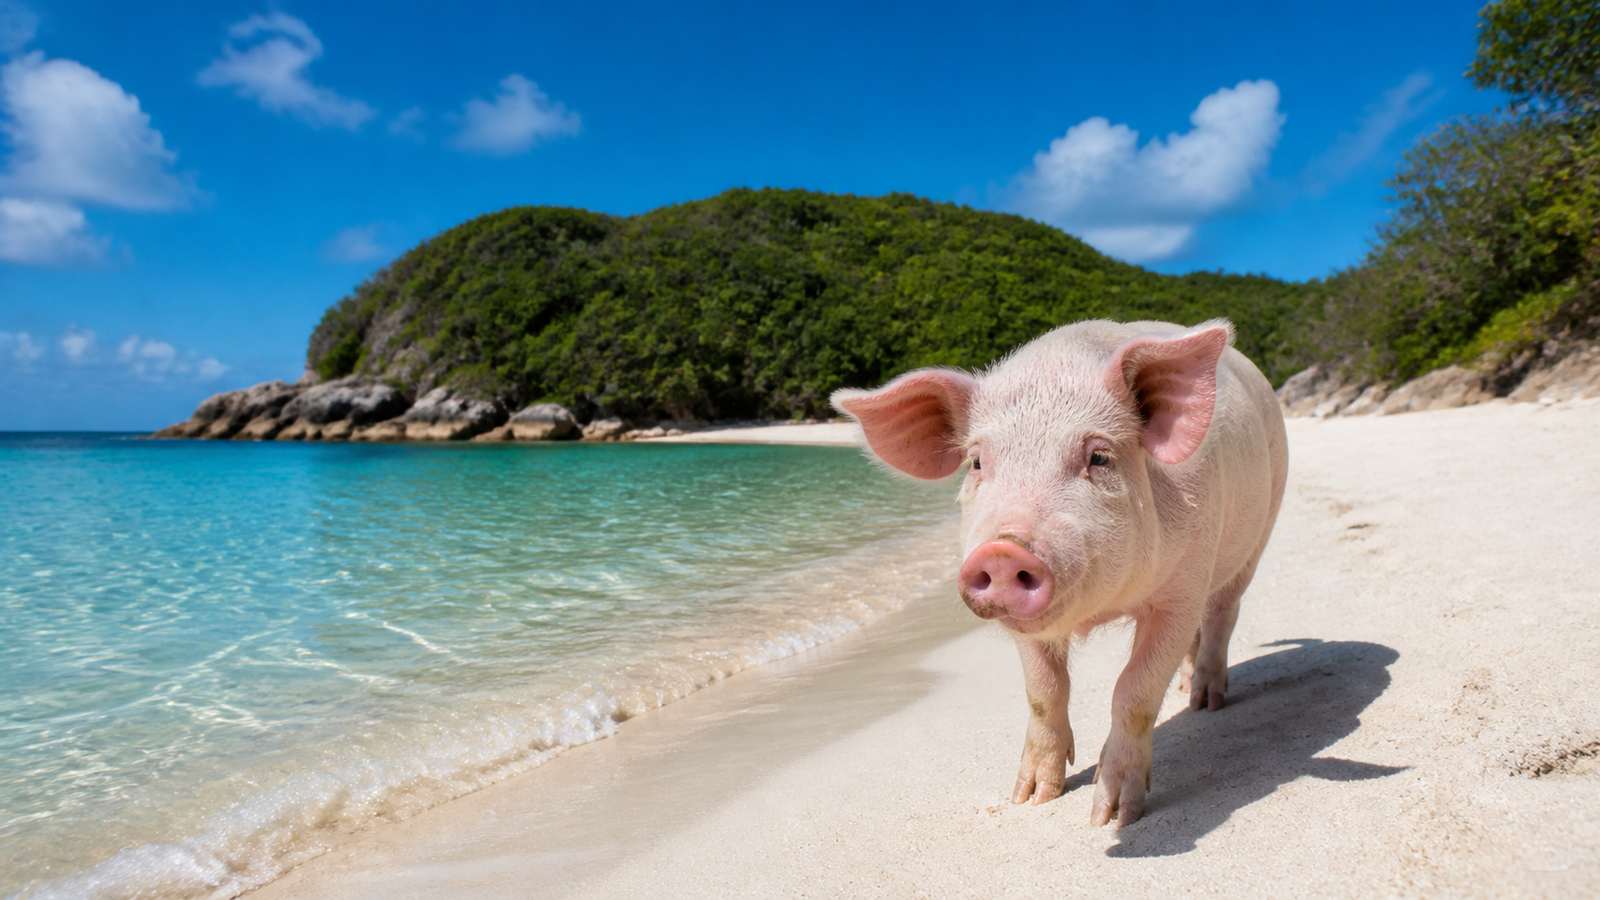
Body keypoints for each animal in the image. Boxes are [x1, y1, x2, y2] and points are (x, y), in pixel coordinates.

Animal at [831, 319, 1287, 826]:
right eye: (976, 461)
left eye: (1099, 457)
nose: (1002, 550)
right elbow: (1044, 690)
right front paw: (1031, 798)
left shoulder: (1182, 589)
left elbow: (1135, 690)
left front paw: (1112, 816)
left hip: (1260, 530)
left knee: (1223, 614)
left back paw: (1206, 703)